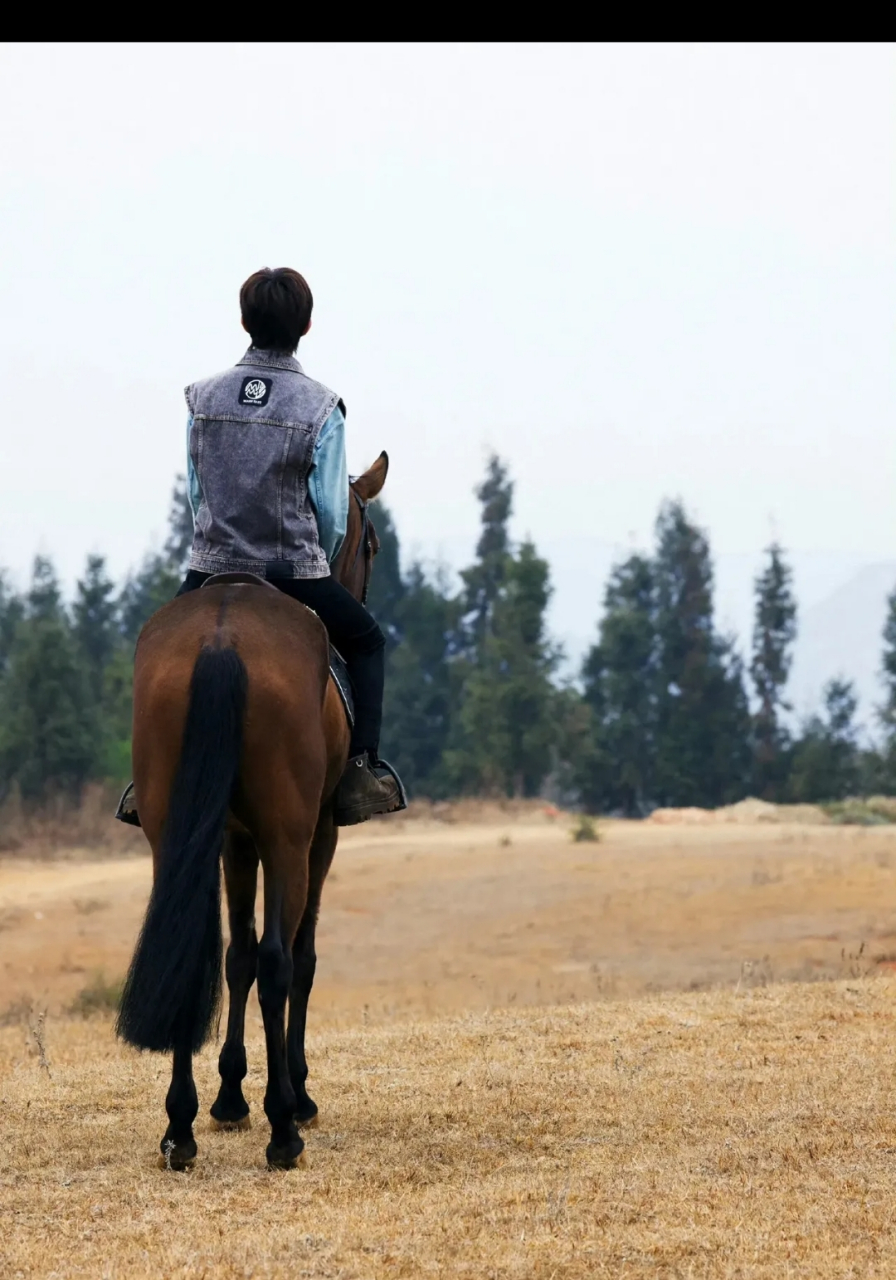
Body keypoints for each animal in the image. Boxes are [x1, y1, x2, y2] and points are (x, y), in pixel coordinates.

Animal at [116, 453, 387, 1170]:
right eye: (372, 545)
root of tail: (221, 636)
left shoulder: (233, 840)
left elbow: (233, 955)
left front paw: (227, 1096)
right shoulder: (317, 835)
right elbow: (296, 957)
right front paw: (292, 1093)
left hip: (175, 834)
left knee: (197, 954)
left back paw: (179, 1128)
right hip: (291, 835)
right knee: (278, 960)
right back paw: (283, 1128)